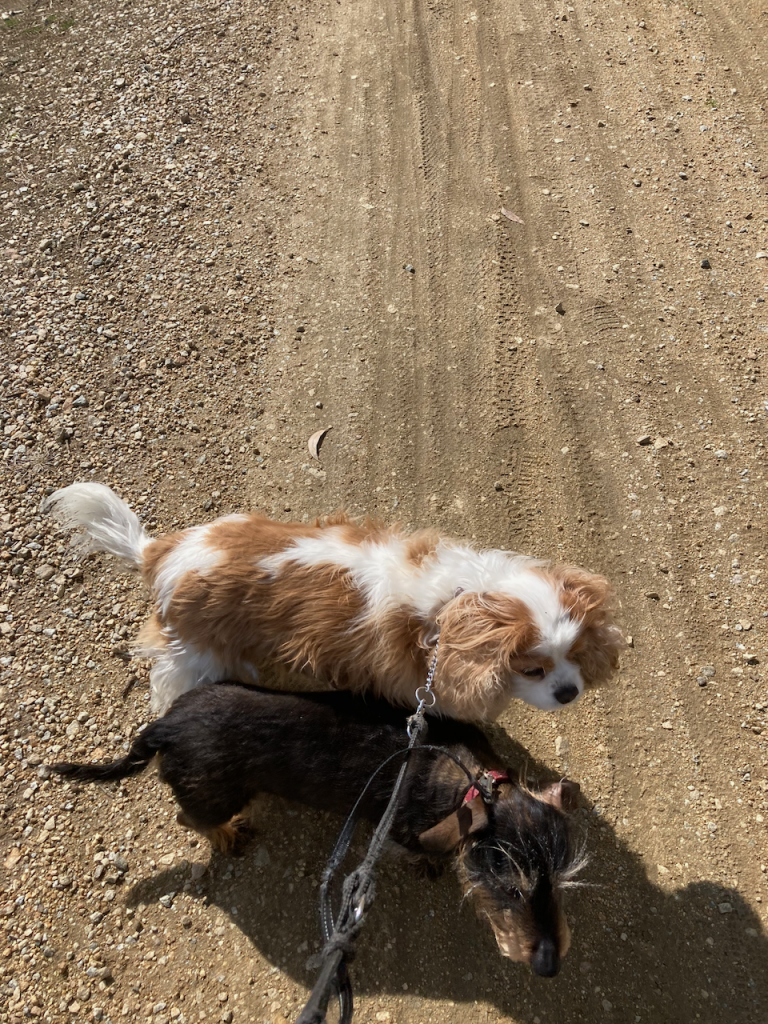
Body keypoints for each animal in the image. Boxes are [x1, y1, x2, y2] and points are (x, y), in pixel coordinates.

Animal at [46, 485, 626, 720]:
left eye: (575, 655)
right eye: (532, 669)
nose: (570, 692)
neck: (451, 609)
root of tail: (162, 552)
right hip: (195, 655)